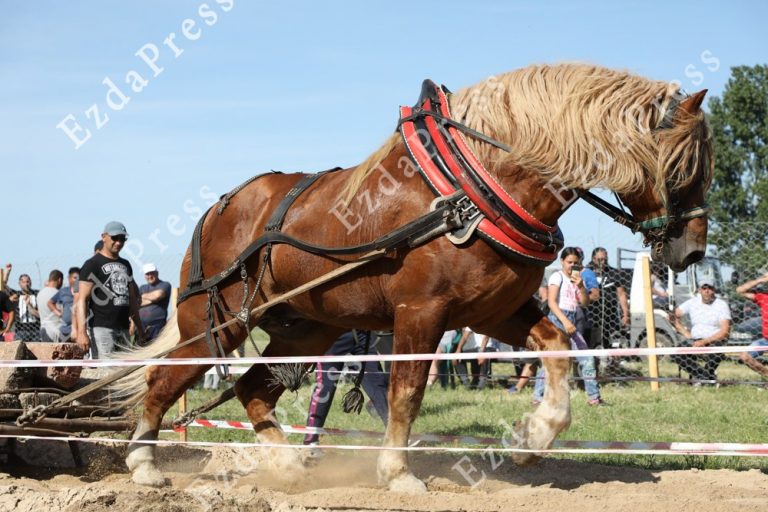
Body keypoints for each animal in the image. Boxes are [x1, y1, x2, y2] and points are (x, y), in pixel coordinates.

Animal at [120, 64, 712, 492]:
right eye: (682, 167)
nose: (693, 250)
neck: (471, 188)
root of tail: (218, 208)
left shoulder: (493, 311)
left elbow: (559, 347)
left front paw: (533, 436)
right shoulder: (421, 313)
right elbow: (407, 393)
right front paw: (398, 473)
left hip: (306, 328)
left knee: (249, 389)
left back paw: (286, 467)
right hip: (217, 323)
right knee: (164, 380)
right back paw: (144, 463)